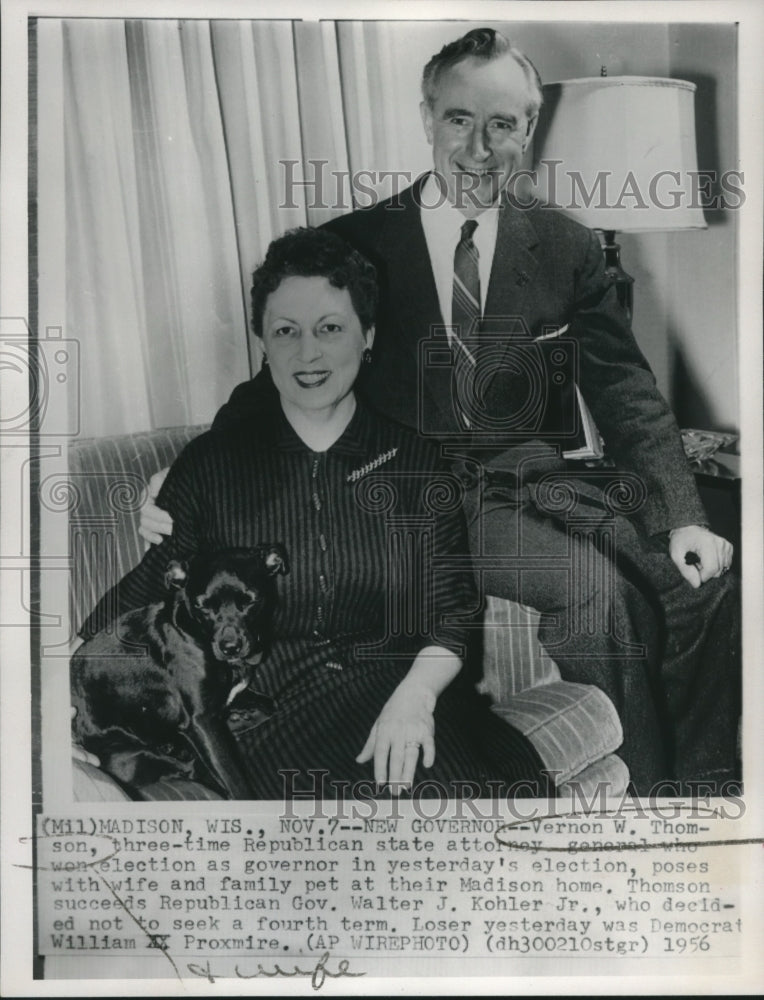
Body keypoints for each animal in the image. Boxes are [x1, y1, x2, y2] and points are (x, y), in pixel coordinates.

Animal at [70, 544, 290, 800]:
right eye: (203, 606)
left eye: (250, 600)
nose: (230, 647)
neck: (197, 633)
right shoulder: (201, 719)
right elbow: (234, 780)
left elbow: (270, 706)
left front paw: (239, 718)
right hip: (129, 756)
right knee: (189, 767)